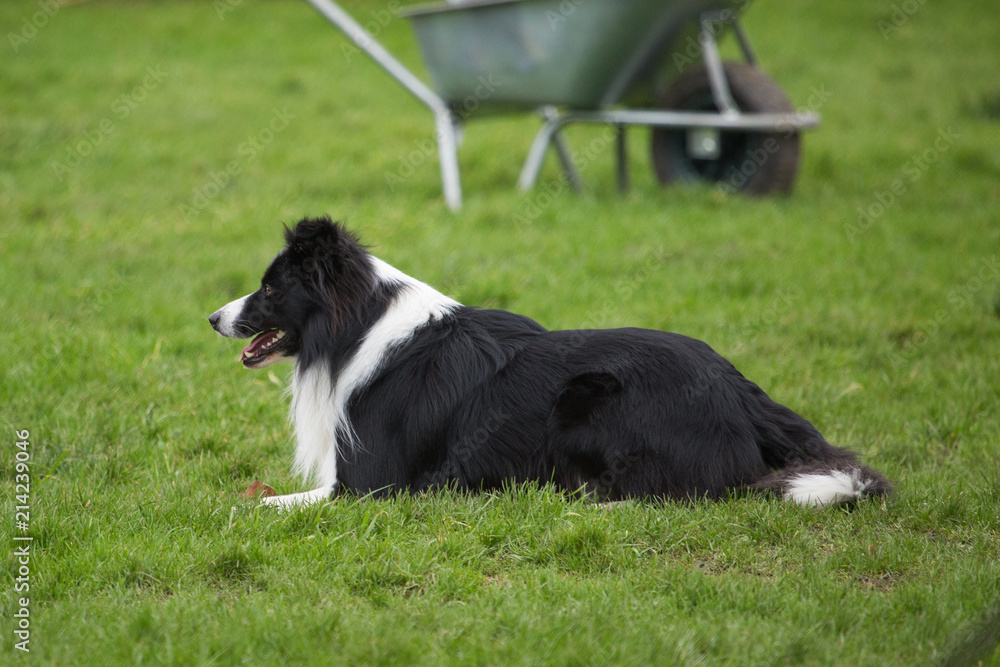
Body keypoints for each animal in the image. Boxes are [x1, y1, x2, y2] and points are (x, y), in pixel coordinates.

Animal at [209, 217, 892, 508]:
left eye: (268, 290)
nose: (213, 318)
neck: (356, 327)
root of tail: (740, 390)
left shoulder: (372, 484)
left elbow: (260, 506)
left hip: (584, 400)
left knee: (670, 494)